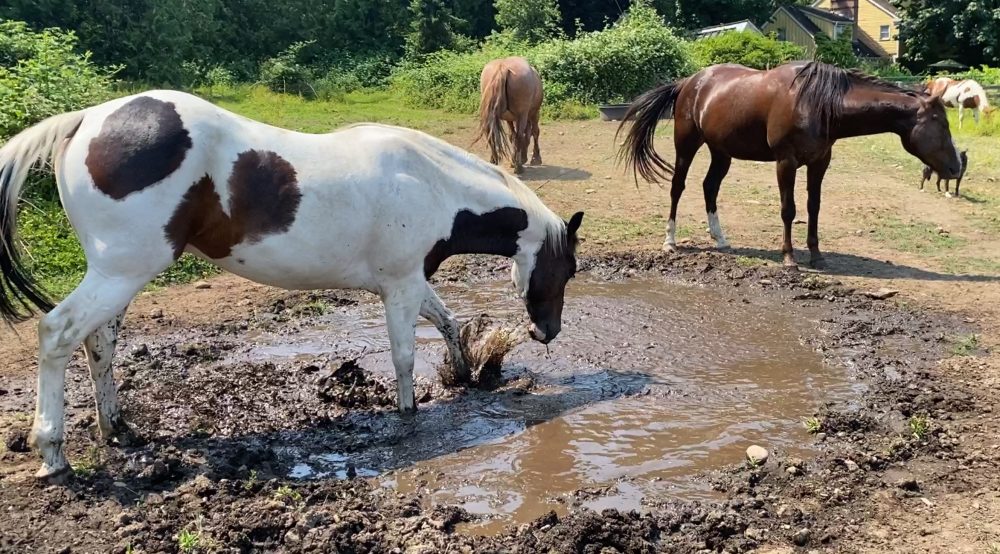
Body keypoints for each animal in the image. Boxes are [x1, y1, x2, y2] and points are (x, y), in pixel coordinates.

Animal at [0, 90, 584, 481]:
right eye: (570, 269)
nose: (548, 333)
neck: (430, 182)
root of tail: (85, 121)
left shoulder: (412, 281)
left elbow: (446, 320)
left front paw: (465, 373)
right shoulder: (399, 286)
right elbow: (403, 356)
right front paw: (409, 414)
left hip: (120, 277)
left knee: (99, 343)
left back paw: (117, 428)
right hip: (119, 273)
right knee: (58, 334)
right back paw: (52, 451)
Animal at [617, 61, 962, 269]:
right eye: (940, 123)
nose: (956, 168)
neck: (819, 103)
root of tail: (689, 82)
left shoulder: (820, 163)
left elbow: (813, 207)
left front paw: (817, 256)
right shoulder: (786, 162)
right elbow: (789, 210)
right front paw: (789, 257)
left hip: (721, 151)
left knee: (709, 187)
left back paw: (721, 239)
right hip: (687, 145)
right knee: (678, 187)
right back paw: (670, 241)